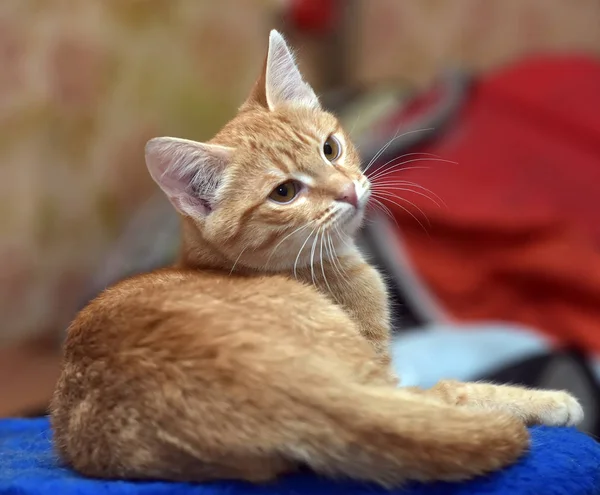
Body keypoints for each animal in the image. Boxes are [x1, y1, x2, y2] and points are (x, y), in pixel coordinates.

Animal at [49, 32, 584, 488]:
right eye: (285, 192)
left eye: (331, 148)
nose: (348, 191)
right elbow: (463, 392)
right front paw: (553, 402)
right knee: (450, 398)